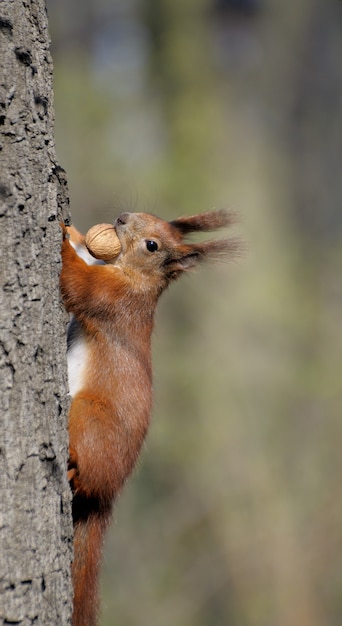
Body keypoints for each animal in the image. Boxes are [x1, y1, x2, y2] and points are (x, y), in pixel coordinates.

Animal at [59, 210, 240, 624]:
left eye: (152, 245)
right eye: (153, 217)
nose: (123, 217)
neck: (134, 277)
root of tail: (107, 493)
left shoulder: (113, 299)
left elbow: (77, 282)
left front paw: (60, 235)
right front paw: (74, 231)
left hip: (87, 416)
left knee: (83, 464)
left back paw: (72, 467)